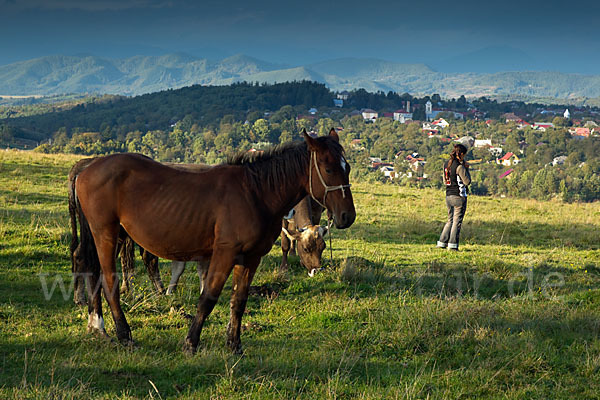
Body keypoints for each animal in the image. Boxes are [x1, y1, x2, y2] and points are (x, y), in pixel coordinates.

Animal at [76, 129, 356, 354]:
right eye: (329, 169)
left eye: (348, 168)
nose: (347, 216)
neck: (255, 192)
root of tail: (87, 167)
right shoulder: (224, 253)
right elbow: (208, 297)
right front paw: (191, 343)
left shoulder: (251, 257)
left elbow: (238, 301)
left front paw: (234, 345)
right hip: (106, 233)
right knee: (108, 280)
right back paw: (124, 334)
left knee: (95, 275)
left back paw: (98, 325)